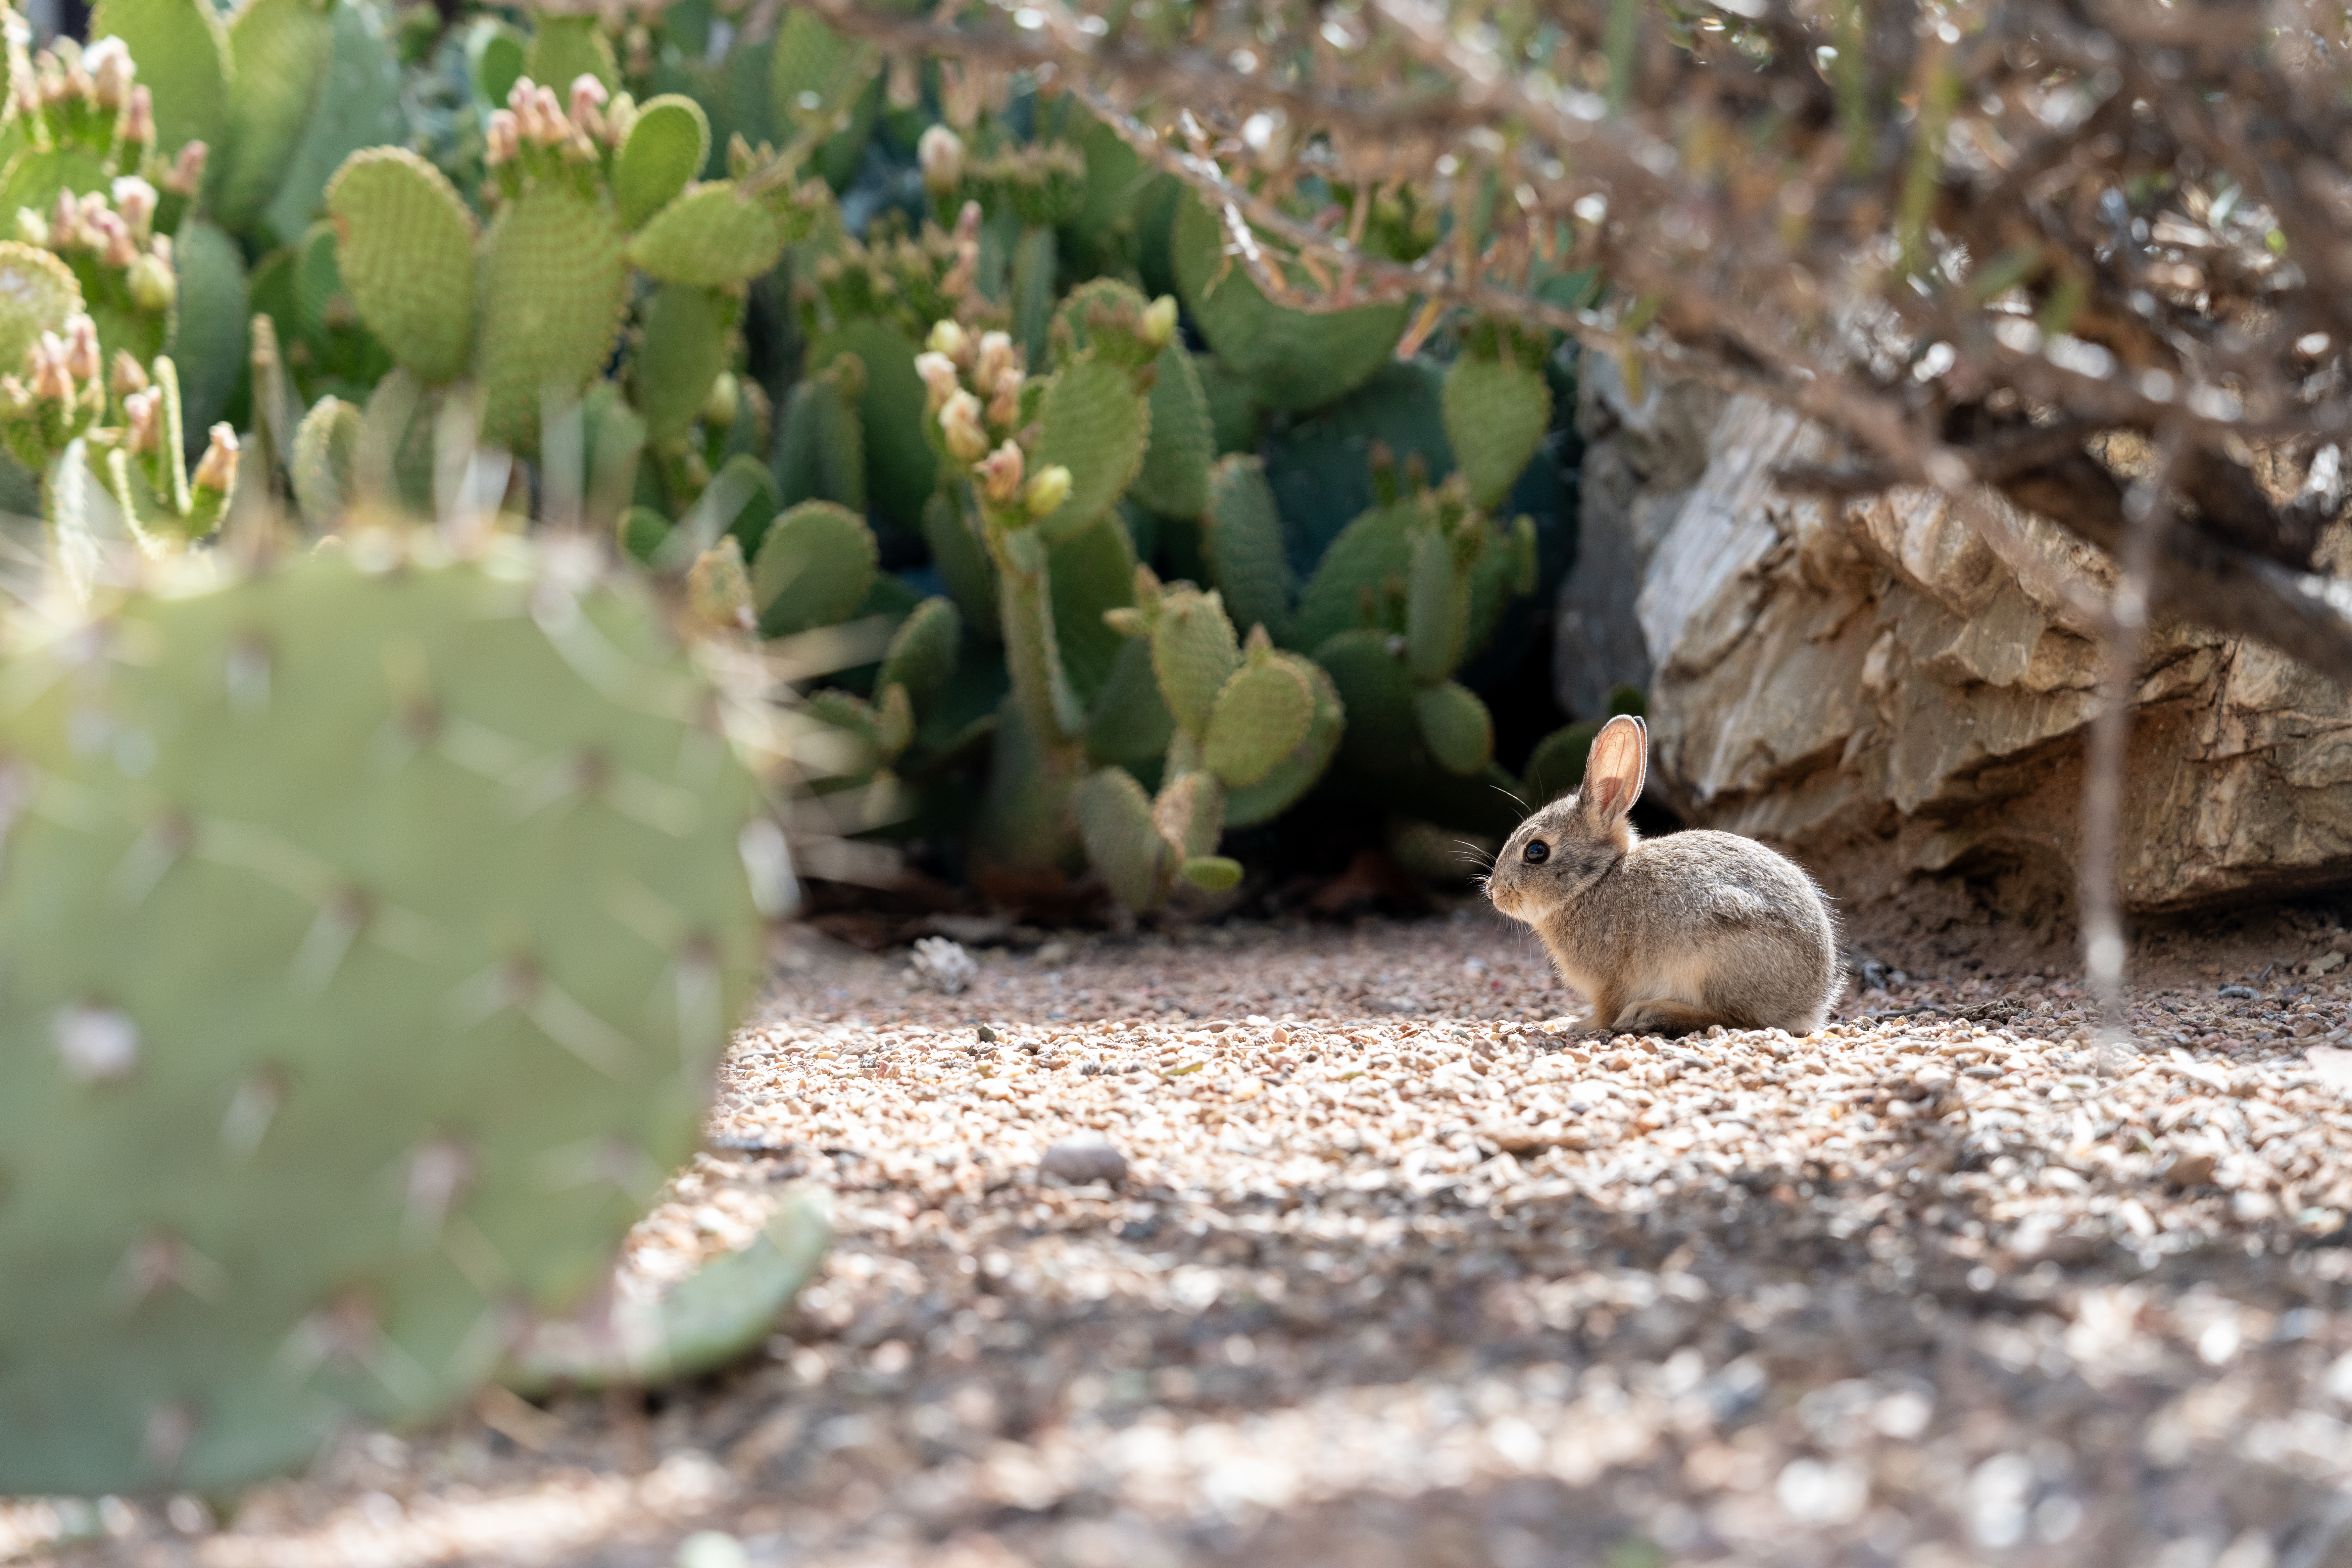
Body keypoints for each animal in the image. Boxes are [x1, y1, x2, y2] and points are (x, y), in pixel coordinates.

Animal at [1485, 714, 1840, 1037]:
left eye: (1536, 851)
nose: (1494, 893)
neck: (1595, 881)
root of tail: (1812, 1004)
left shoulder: (1610, 982)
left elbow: (1605, 1013)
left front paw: (1576, 1025)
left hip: (1716, 958)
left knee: (1738, 1020)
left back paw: (1650, 1015)